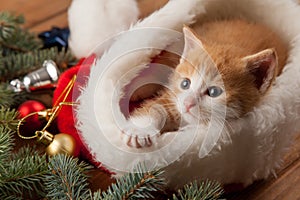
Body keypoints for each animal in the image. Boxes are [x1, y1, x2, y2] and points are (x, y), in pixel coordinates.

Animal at [122, 19, 288, 148]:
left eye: (214, 92)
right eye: (185, 84)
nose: (188, 103)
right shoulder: (175, 97)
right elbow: (157, 106)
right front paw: (140, 131)